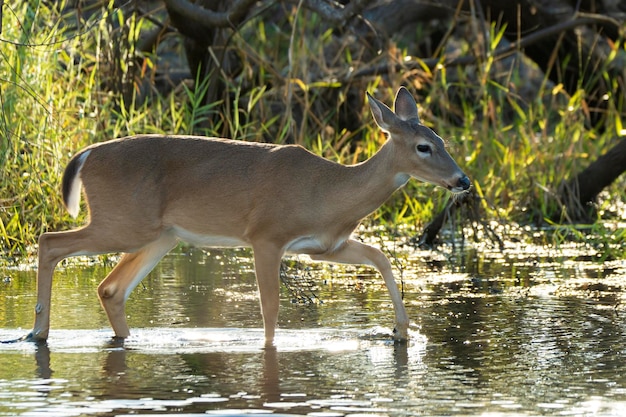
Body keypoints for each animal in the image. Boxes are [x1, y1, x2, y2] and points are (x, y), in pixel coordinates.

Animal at [24, 87, 468, 344]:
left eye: (444, 140)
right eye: (424, 146)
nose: (462, 180)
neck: (328, 191)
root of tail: (86, 154)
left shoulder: (323, 247)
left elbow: (381, 257)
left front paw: (402, 331)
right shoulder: (266, 235)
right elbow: (270, 306)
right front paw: (268, 349)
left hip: (160, 235)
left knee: (110, 288)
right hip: (123, 223)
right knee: (49, 242)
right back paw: (37, 332)